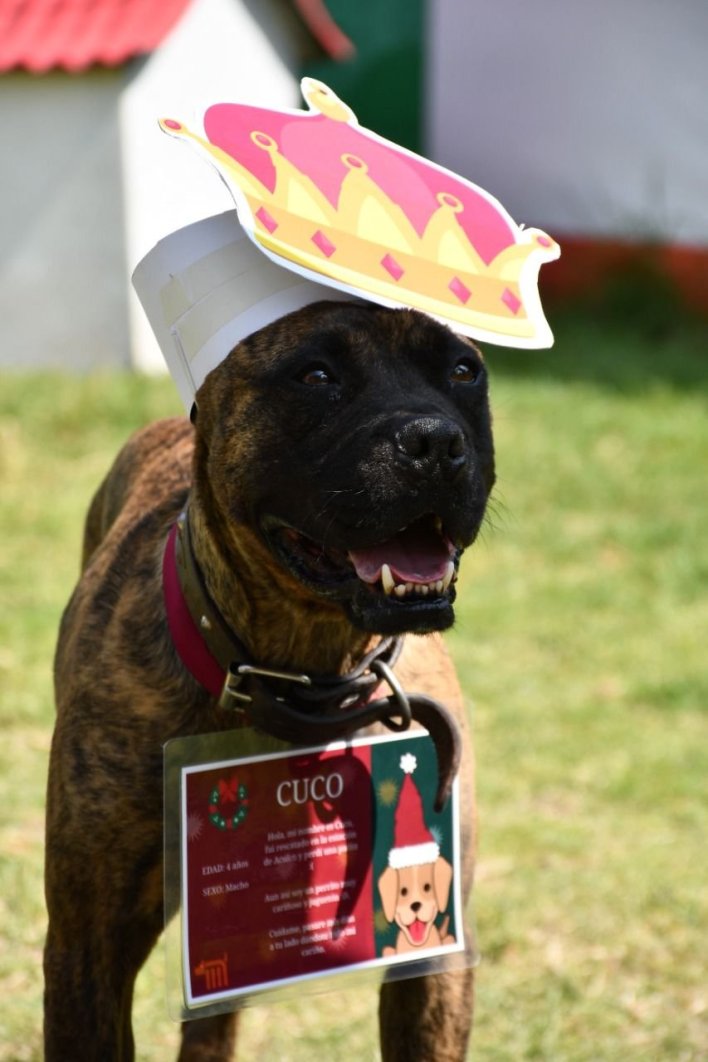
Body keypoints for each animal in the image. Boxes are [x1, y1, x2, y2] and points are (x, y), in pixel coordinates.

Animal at [45, 301, 498, 1062]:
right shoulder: (89, 943)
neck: (305, 677)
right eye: (315, 375)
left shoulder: (436, 951)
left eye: (465, 370)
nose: (435, 440)